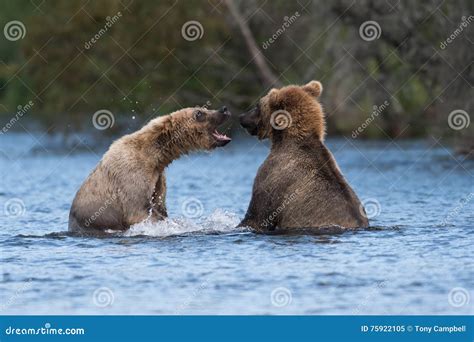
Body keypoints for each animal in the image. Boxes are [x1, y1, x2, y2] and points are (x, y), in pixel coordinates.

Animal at [68, 106, 231, 232]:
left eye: (205, 109)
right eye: (199, 113)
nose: (224, 110)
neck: (154, 158)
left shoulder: (158, 177)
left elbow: (159, 205)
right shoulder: (131, 175)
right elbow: (139, 211)